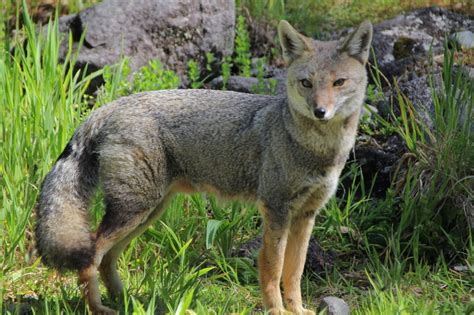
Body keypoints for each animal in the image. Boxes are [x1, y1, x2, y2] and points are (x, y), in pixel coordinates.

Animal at [35, 20, 372, 315]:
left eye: (338, 83)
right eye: (306, 83)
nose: (320, 111)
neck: (317, 150)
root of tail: (108, 107)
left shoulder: (306, 214)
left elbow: (294, 270)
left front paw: (298, 309)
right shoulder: (275, 208)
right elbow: (273, 268)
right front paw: (276, 310)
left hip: (147, 213)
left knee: (107, 259)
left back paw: (127, 301)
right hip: (134, 211)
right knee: (92, 255)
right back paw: (97, 308)